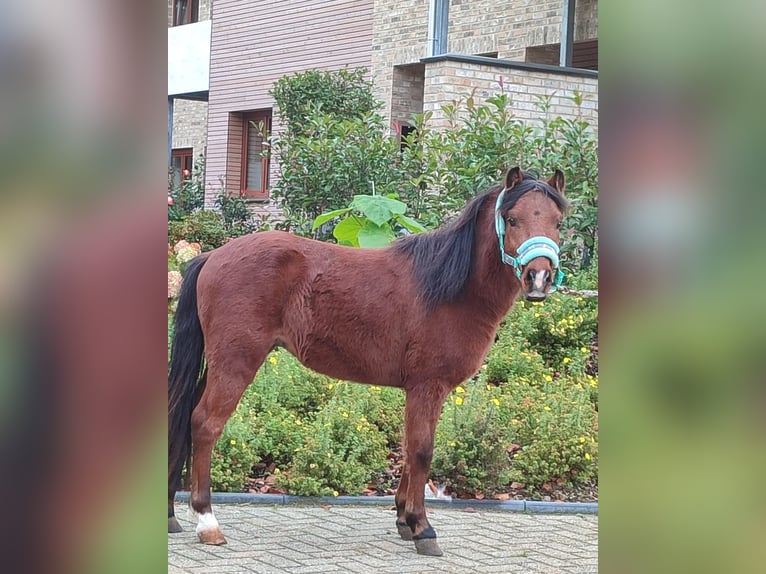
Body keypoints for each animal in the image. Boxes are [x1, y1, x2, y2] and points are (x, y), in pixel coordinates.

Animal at [170, 168, 568, 560]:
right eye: (512, 219)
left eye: (558, 221)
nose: (539, 277)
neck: (449, 288)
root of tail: (212, 257)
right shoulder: (428, 386)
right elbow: (422, 451)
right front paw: (423, 528)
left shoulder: (423, 391)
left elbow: (408, 448)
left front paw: (404, 519)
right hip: (235, 364)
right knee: (205, 424)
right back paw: (207, 522)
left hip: (218, 365)